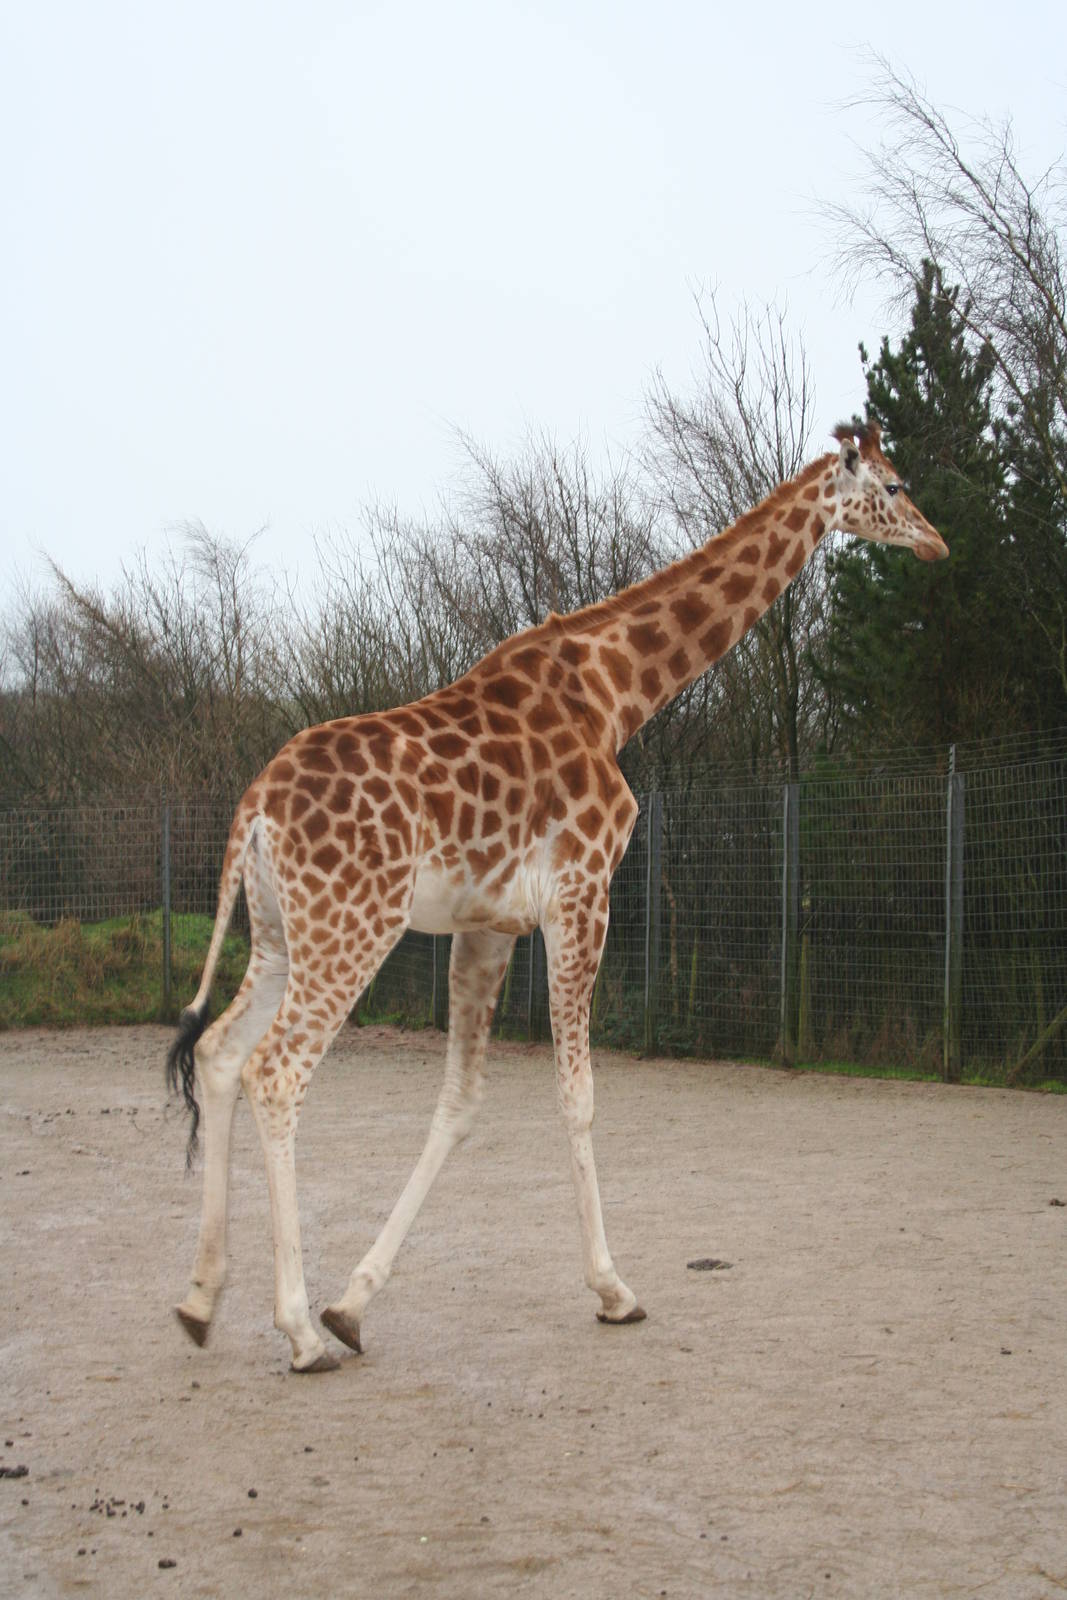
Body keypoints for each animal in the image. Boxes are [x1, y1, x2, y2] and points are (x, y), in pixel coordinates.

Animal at [166, 419, 947, 1371]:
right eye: (895, 482)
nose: (937, 542)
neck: (618, 691)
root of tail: (254, 810)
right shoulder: (584, 891)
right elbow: (578, 1094)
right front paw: (614, 1291)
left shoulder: (489, 925)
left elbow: (460, 1103)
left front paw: (354, 1303)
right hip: (352, 926)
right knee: (277, 1072)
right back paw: (295, 1331)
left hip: (281, 932)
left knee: (219, 1054)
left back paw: (202, 1300)